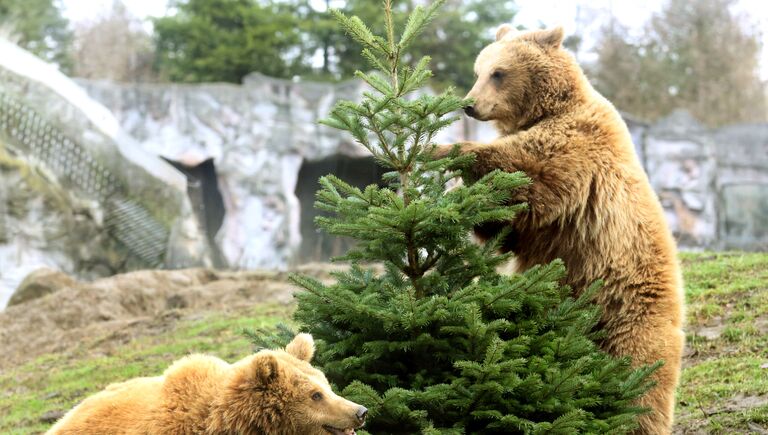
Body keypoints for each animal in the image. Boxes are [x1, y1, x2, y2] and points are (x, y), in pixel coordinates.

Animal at [438, 25, 684, 434]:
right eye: (478, 70)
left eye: (498, 73)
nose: (469, 105)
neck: (547, 108)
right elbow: (508, 225)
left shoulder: (574, 146)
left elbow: (526, 171)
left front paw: (443, 151)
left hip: (628, 311)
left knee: (639, 381)